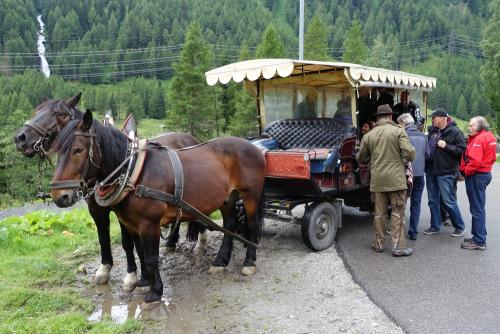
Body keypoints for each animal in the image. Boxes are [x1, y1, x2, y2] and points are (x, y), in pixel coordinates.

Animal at [14, 93, 201, 290]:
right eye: (35, 111)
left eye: (58, 113)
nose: (20, 138)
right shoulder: (97, 210)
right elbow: (104, 238)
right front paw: (105, 270)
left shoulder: (122, 211)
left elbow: (128, 243)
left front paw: (133, 275)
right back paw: (172, 242)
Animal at [51, 111, 266, 304]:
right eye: (56, 151)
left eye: (78, 149)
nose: (59, 196)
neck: (133, 173)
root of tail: (253, 146)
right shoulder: (131, 224)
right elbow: (139, 251)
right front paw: (143, 282)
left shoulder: (149, 224)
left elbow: (151, 257)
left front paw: (155, 292)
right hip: (227, 199)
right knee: (230, 224)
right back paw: (220, 261)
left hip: (250, 195)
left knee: (252, 226)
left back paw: (249, 262)